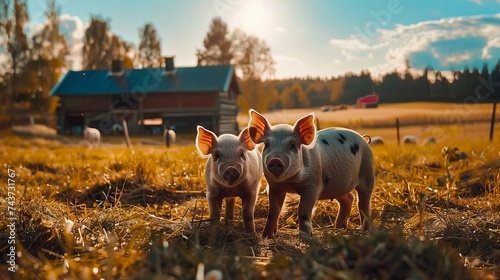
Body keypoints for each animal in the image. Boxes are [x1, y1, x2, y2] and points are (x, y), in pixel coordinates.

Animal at [248, 109, 374, 238]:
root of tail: (364, 139)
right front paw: (266, 236)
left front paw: (306, 237)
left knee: (363, 203)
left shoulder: (312, 186)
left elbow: (303, 210)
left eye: (292, 145)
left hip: (367, 171)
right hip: (336, 186)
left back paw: (365, 231)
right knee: (348, 198)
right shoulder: (274, 186)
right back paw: (338, 227)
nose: (275, 160)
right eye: (267, 145)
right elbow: (273, 211)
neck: (290, 182)